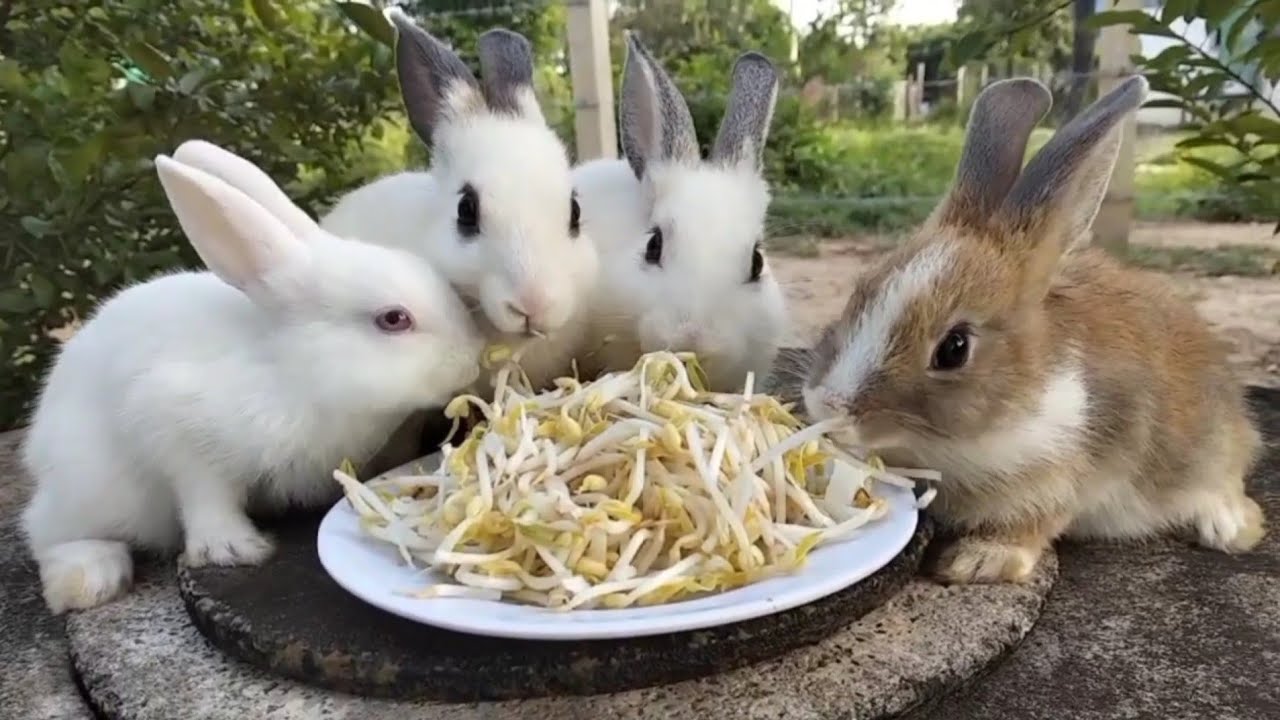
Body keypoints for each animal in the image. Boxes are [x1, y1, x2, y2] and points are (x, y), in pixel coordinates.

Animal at [19, 139, 484, 614]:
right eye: (393, 319)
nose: (473, 358)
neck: (290, 369)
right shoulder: (178, 429)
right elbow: (206, 496)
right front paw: (233, 550)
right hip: (94, 484)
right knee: (46, 532)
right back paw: (89, 579)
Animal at [801, 76, 1266, 585]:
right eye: (860, 290)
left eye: (954, 348)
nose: (828, 405)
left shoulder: (1061, 476)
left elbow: (1030, 528)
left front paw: (973, 561)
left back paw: (1228, 528)